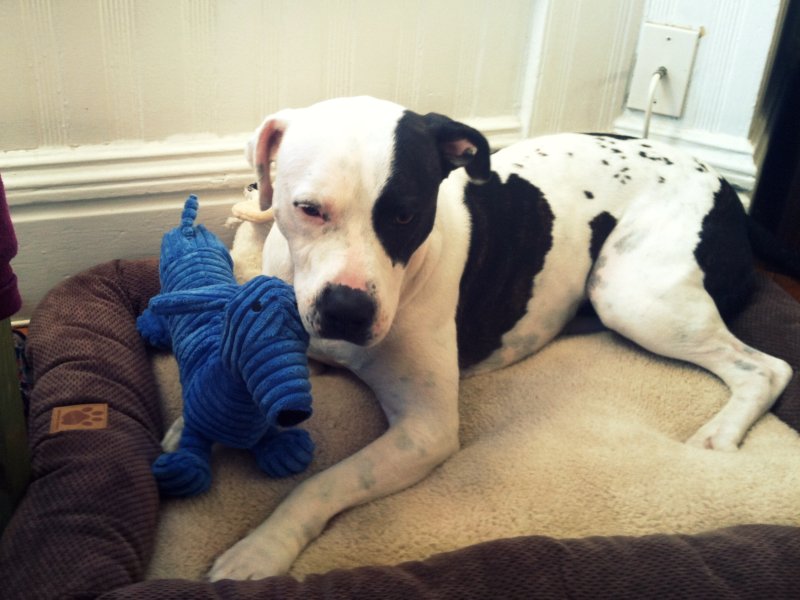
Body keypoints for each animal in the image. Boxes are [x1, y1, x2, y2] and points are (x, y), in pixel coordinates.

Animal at [201, 96, 794, 580]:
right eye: (308, 209)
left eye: (405, 215)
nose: (348, 310)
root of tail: (721, 183)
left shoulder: (424, 431)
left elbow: (321, 482)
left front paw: (261, 548)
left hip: (631, 296)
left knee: (768, 367)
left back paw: (719, 434)